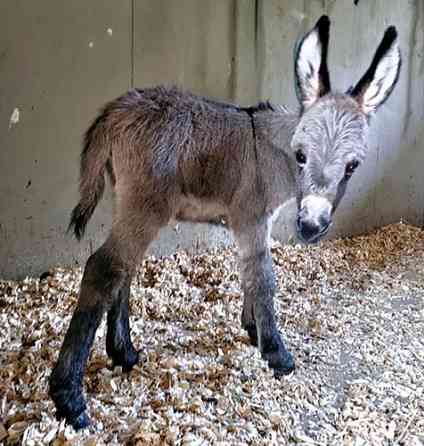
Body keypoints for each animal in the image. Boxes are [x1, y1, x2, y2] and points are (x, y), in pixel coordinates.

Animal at [49, 16, 400, 428]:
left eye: (352, 166)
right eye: (300, 156)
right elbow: (263, 277)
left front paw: (252, 329)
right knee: (104, 268)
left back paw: (124, 354)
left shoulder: (252, 222)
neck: (273, 151)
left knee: (124, 269)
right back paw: (70, 400)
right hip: (145, 206)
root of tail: (115, 110)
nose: (312, 227)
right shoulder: (251, 217)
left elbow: (248, 271)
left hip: (129, 202)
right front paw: (276, 354)